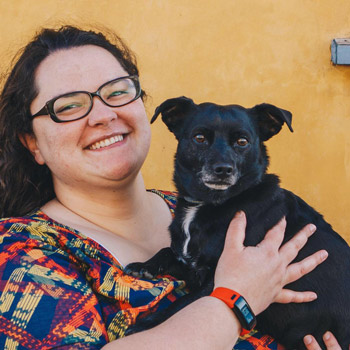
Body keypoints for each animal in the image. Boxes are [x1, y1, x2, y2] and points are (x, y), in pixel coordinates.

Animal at [126, 97, 350, 348]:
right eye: (199, 138)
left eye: (242, 141)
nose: (223, 169)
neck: (209, 204)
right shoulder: (194, 268)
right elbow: (167, 251)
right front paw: (144, 266)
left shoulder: (214, 281)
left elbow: (179, 305)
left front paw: (145, 325)